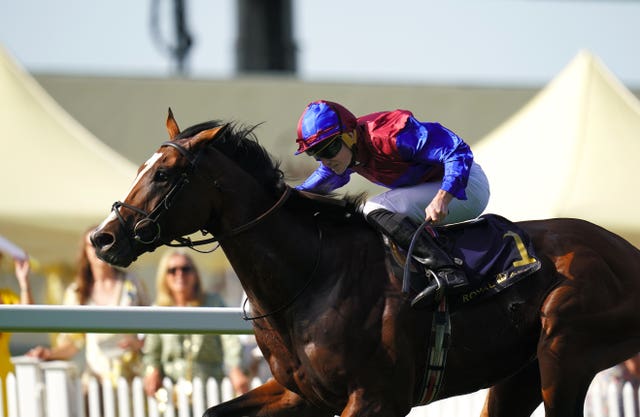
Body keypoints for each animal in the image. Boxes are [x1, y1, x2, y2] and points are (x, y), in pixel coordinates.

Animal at [90, 110, 640, 416]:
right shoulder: (302, 394)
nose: (103, 237)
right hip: (519, 374)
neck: (310, 280)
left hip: (565, 354)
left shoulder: (376, 398)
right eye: (142, 167)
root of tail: (626, 251)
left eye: (165, 174)